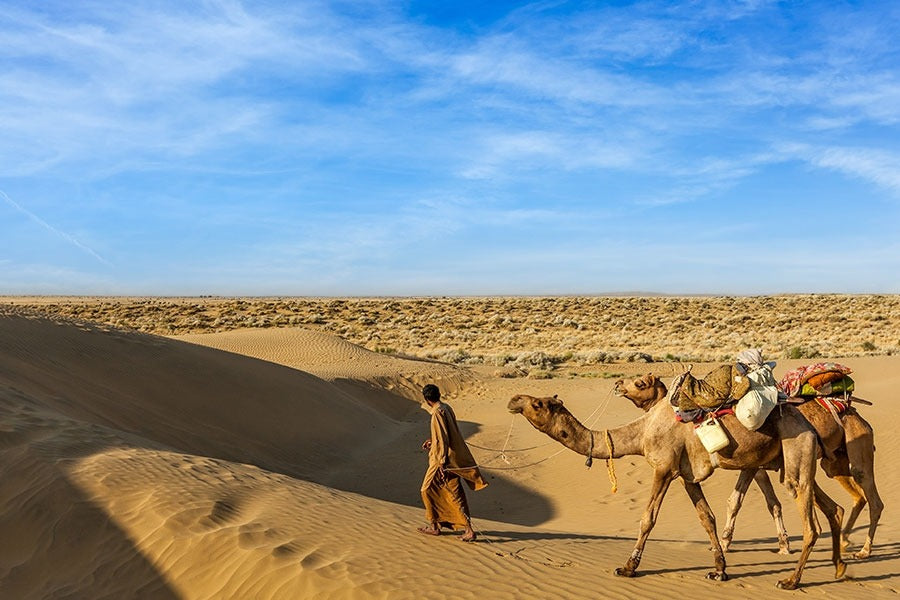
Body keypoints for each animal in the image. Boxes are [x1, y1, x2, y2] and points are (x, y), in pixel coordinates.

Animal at [510, 394, 848, 592]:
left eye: (537, 404)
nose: (514, 399)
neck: (641, 432)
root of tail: (810, 424)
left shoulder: (663, 468)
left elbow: (648, 518)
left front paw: (628, 567)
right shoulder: (687, 476)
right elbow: (707, 517)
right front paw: (719, 571)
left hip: (796, 451)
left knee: (810, 522)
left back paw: (791, 580)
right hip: (793, 459)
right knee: (833, 508)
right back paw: (839, 567)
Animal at [616, 372, 884, 560]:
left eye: (640, 383)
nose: (618, 384)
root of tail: (856, 413)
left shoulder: (756, 466)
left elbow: (750, 502)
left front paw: (731, 543)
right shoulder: (756, 466)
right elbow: (756, 501)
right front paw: (779, 543)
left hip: (855, 450)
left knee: (872, 498)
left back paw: (864, 550)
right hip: (834, 463)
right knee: (852, 497)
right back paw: (845, 540)